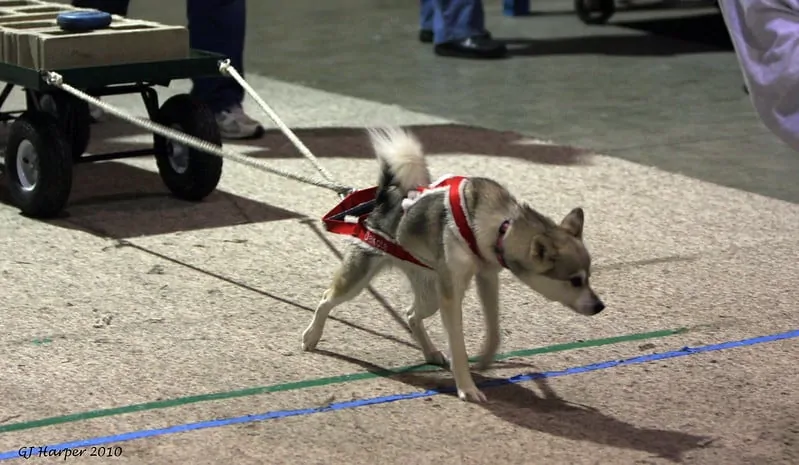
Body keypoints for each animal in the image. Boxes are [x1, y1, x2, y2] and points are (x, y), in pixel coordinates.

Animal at [302, 128, 608, 402]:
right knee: (326, 299)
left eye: (589, 277)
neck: (502, 225)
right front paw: (467, 386)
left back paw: (430, 352)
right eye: (575, 280)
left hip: (430, 292)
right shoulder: (452, 293)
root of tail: (383, 201)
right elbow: (458, 346)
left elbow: (494, 328)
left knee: (411, 315)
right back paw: (312, 336)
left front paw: (486, 358)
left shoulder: (487, 277)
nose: (600, 307)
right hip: (362, 278)